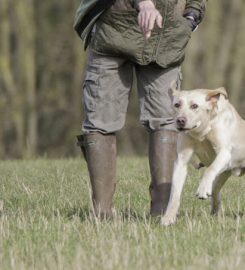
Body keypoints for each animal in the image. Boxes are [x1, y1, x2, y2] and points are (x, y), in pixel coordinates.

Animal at [161, 83, 245, 226]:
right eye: (177, 104)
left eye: (194, 106)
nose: (180, 120)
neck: (201, 131)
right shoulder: (181, 161)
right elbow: (175, 193)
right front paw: (169, 217)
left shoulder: (224, 153)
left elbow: (210, 169)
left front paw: (202, 188)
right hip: (223, 175)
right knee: (216, 190)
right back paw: (215, 212)